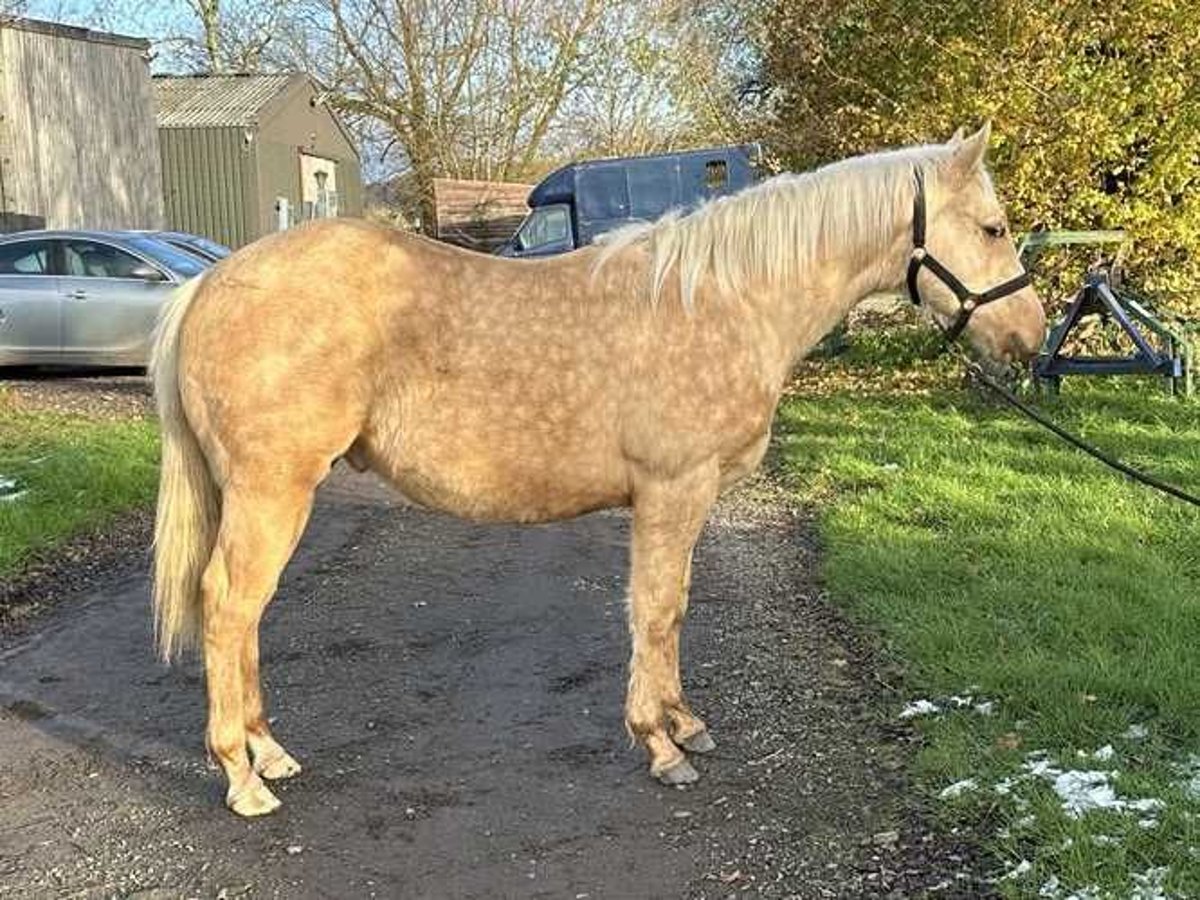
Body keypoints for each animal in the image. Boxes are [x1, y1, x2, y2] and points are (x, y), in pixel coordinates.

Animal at [152, 123, 1051, 820]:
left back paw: (268, 751)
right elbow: (653, 612)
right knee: (229, 607)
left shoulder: (686, 497)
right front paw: (660, 744)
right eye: (994, 227)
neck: (724, 300)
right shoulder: (672, 488)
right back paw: (242, 776)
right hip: (273, 490)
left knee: (244, 616)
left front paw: (684, 723)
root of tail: (208, 285)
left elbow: (675, 607)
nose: (1029, 335)